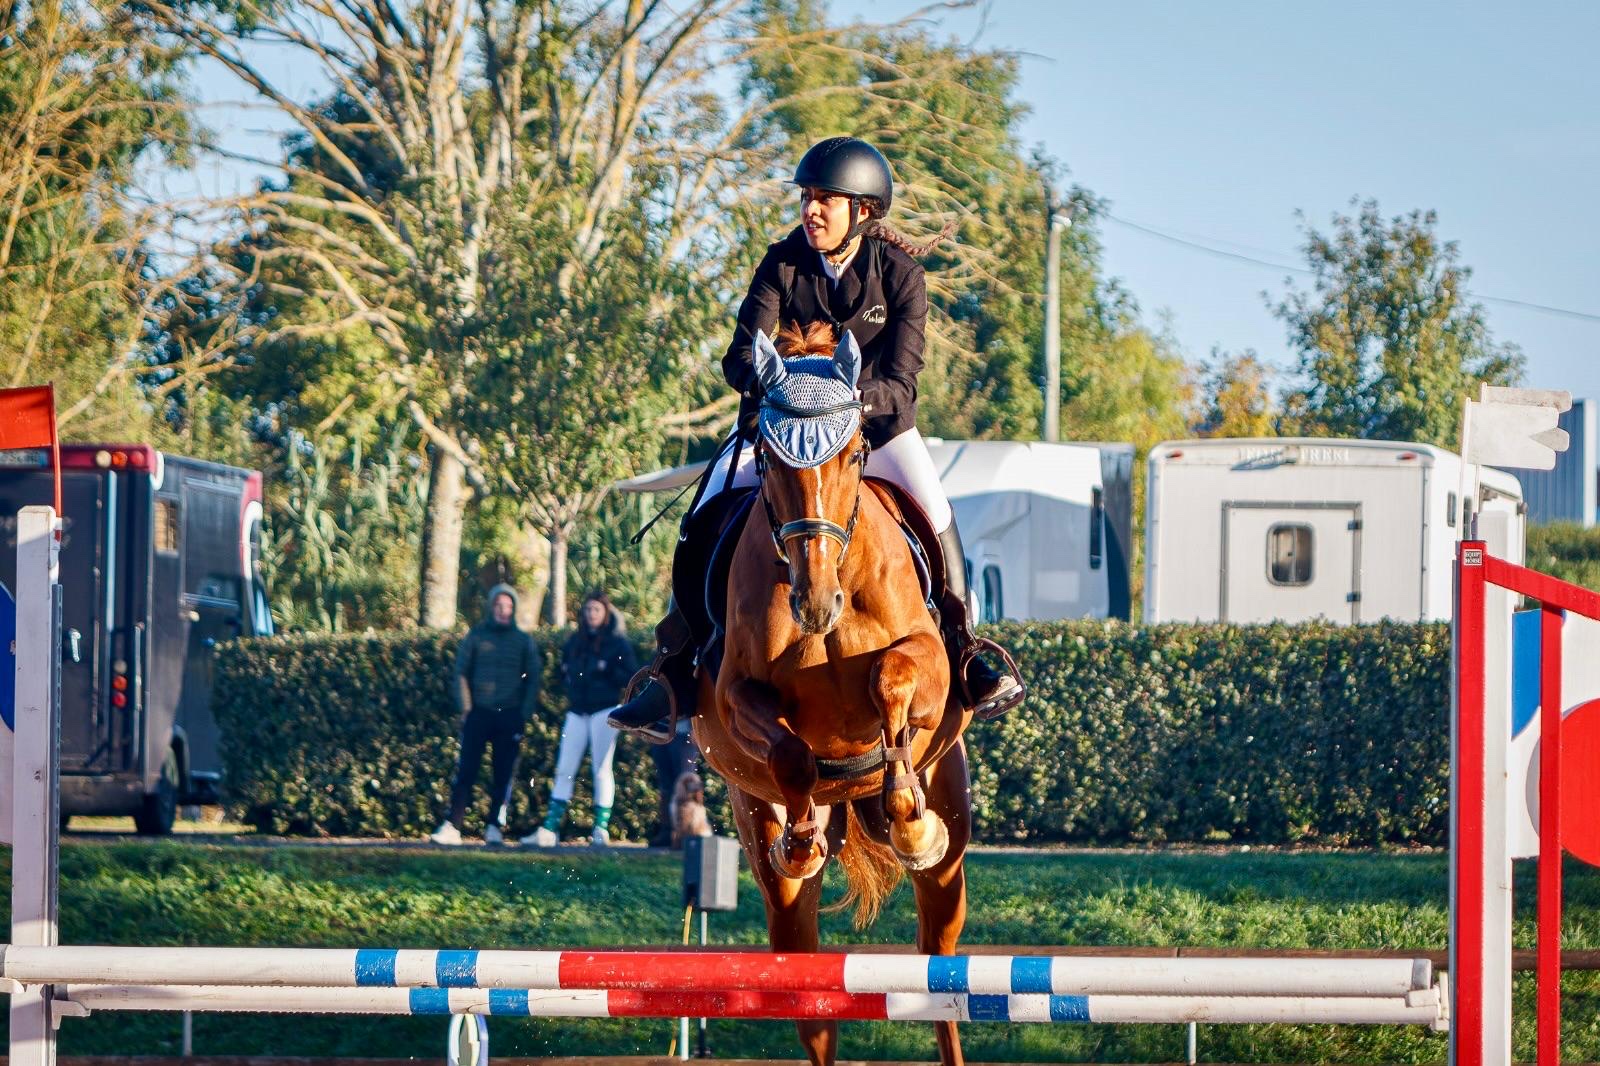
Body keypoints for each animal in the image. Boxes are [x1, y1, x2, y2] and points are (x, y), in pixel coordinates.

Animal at [690, 321, 975, 1066]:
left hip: (949, 855)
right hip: (780, 889)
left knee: (941, 972)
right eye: (767, 458)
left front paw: (910, 818)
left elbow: (890, 676)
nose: (816, 604)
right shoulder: (732, 697)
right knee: (812, 1004)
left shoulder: (929, 663)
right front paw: (799, 839)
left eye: (852, 454)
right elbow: (791, 752)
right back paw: (802, 839)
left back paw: (914, 827)